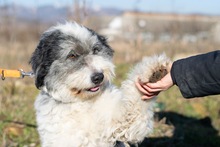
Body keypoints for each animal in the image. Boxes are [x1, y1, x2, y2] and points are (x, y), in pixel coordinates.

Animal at [29, 22, 170, 147]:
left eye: (96, 50)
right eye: (72, 55)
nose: (98, 77)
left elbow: (134, 106)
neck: (82, 102)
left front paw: (153, 73)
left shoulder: (122, 123)